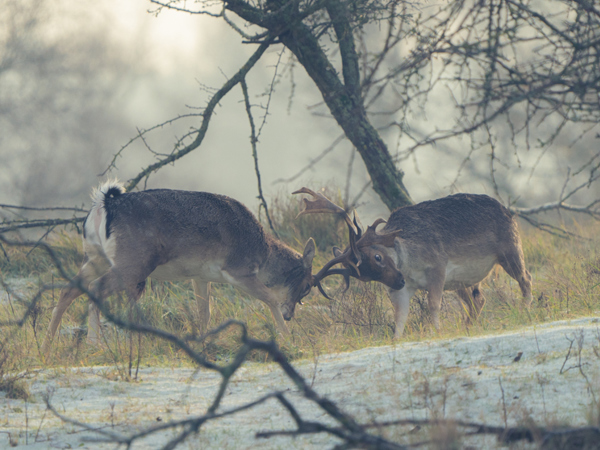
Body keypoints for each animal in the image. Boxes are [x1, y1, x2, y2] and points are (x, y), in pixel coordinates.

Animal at [41, 181, 318, 354]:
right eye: (306, 286)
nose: (290, 314)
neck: (262, 253)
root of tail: (103, 205)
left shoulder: (201, 276)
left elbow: (204, 311)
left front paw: (204, 343)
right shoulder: (238, 269)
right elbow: (269, 297)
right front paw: (288, 338)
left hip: (94, 256)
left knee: (68, 290)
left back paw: (48, 342)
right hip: (133, 262)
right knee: (95, 288)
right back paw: (93, 344)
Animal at [292, 186, 532, 338]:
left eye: (378, 257)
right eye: (365, 277)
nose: (398, 280)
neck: (409, 265)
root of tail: (508, 210)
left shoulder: (438, 266)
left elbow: (433, 304)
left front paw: (437, 331)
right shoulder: (402, 289)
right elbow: (400, 316)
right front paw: (396, 340)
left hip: (510, 248)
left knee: (526, 278)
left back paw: (524, 312)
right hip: (461, 281)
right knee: (479, 300)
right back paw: (468, 327)